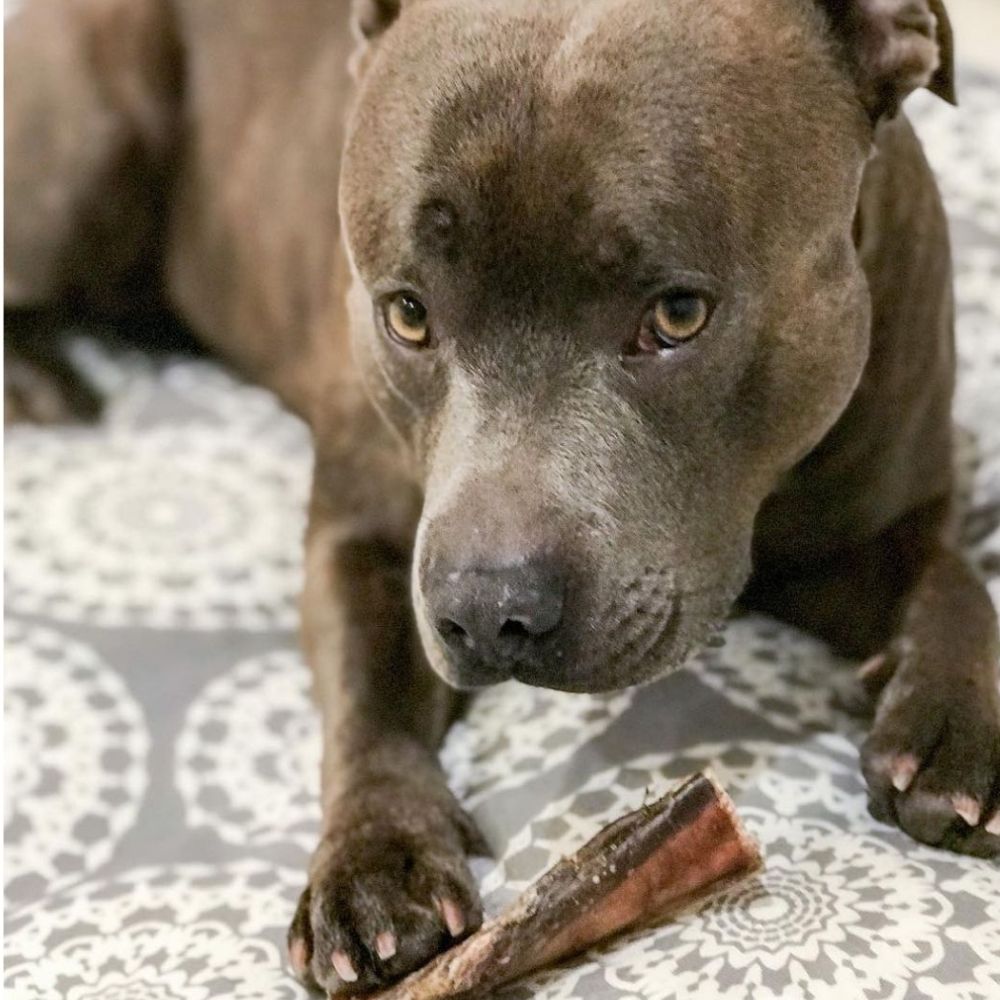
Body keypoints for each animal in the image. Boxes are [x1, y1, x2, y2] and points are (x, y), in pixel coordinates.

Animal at [3, 0, 996, 988]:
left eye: (678, 315)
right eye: (408, 314)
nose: (488, 609)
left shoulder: (874, 530)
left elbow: (954, 577)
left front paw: (956, 721)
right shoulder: (364, 539)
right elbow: (366, 699)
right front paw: (374, 863)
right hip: (92, 156)